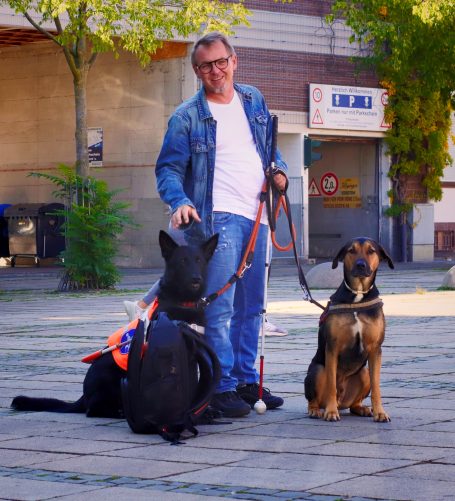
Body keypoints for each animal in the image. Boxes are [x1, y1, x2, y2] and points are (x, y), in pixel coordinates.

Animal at [9, 230, 219, 418]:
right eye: (182, 261)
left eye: (199, 261)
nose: (196, 278)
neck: (183, 302)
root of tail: (83, 397)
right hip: (111, 379)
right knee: (93, 410)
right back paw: (119, 412)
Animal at [304, 238, 394, 422]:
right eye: (351, 251)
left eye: (371, 251)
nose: (360, 265)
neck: (357, 296)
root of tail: (342, 402)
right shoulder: (332, 347)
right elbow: (331, 384)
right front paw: (331, 412)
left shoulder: (376, 349)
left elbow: (376, 386)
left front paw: (380, 412)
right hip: (317, 371)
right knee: (314, 398)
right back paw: (317, 410)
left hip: (364, 373)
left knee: (354, 404)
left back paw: (362, 409)